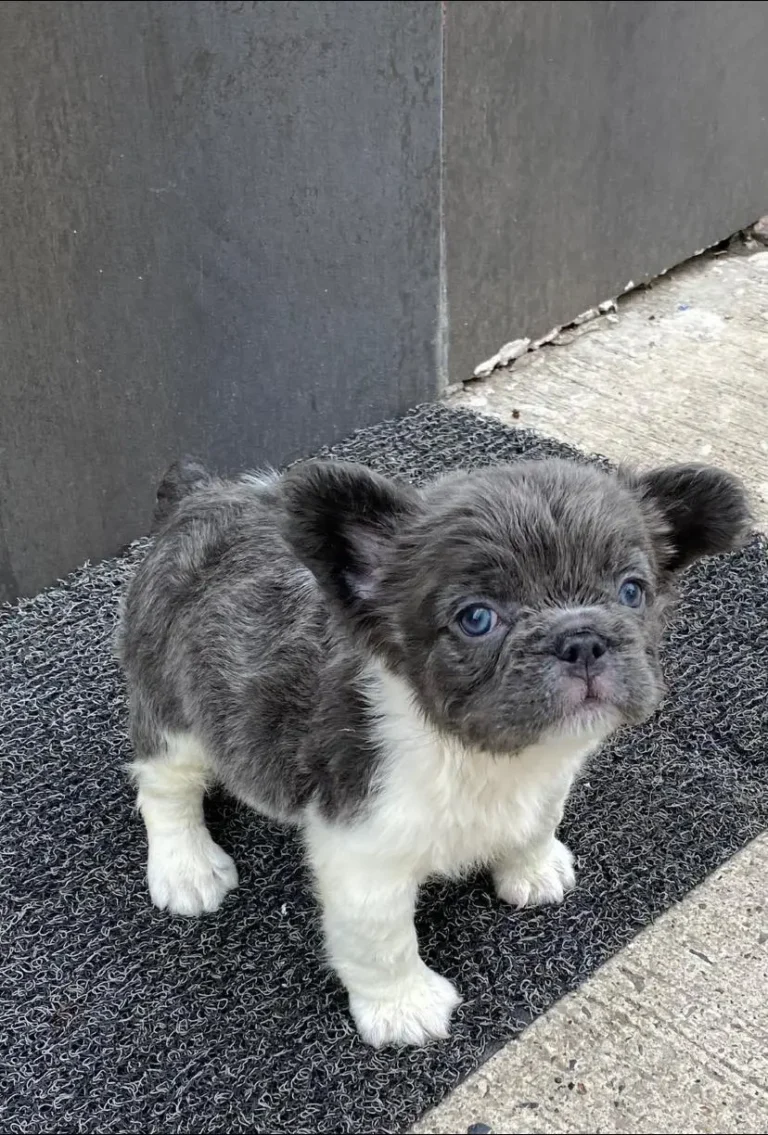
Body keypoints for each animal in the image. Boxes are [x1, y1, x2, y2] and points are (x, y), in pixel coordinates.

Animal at [118, 451, 748, 1044]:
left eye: (632, 592)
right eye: (477, 619)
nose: (583, 638)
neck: (479, 754)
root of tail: (199, 496)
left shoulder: (546, 778)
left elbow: (539, 818)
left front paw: (531, 866)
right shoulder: (363, 854)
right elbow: (381, 940)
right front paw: (402, 1006)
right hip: (175, 720)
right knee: (164, 789)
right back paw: (187, 866)